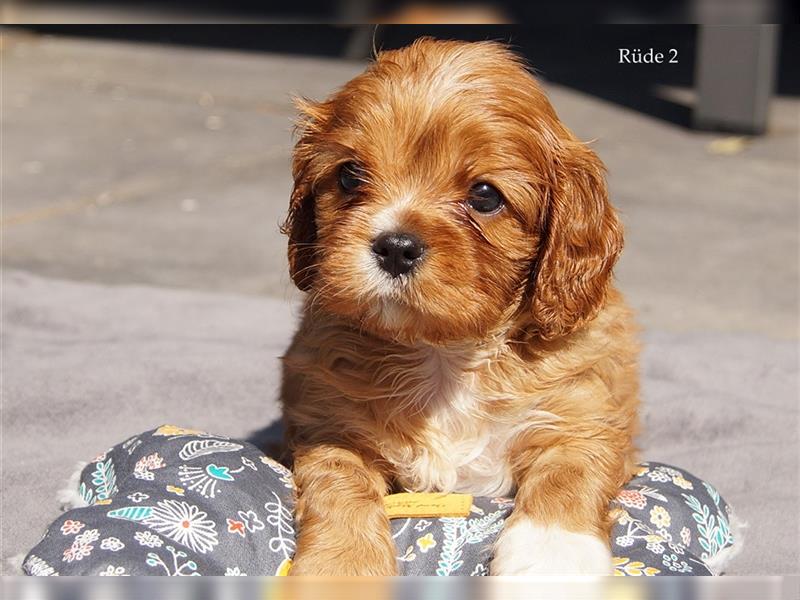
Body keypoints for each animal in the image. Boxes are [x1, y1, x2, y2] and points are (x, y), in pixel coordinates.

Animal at [280, 38, 636, 576]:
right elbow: (339, 485)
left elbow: (569, 475)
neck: (444, 356)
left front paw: (550, 561)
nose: (395, 247)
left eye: (485, 196)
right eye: (349, 176)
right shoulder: (326, 421)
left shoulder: (585, 416)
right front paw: (341, 568)